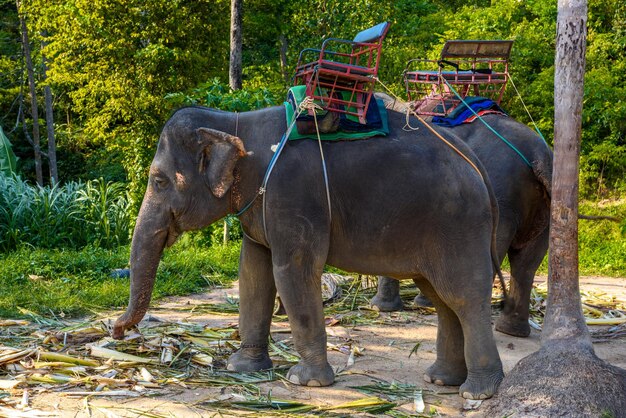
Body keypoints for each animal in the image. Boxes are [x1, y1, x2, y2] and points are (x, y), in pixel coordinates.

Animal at [109, 103, 504, 398]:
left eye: (158, 181)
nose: (118, 332)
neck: (234, 121)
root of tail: (476, 163)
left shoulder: (292, 194)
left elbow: (293, 271)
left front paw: (306, 380)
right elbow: (252, 273)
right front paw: (242, 368)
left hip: (457, 224)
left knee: (463, 296)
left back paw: (477, 392)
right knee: (441, 299)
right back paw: (440, 380)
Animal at [370, 99, 552, 340]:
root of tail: (539, 155)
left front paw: (380, 307)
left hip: (499, 195)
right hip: (547, 206)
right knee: (527, 263)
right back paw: (511, 331)